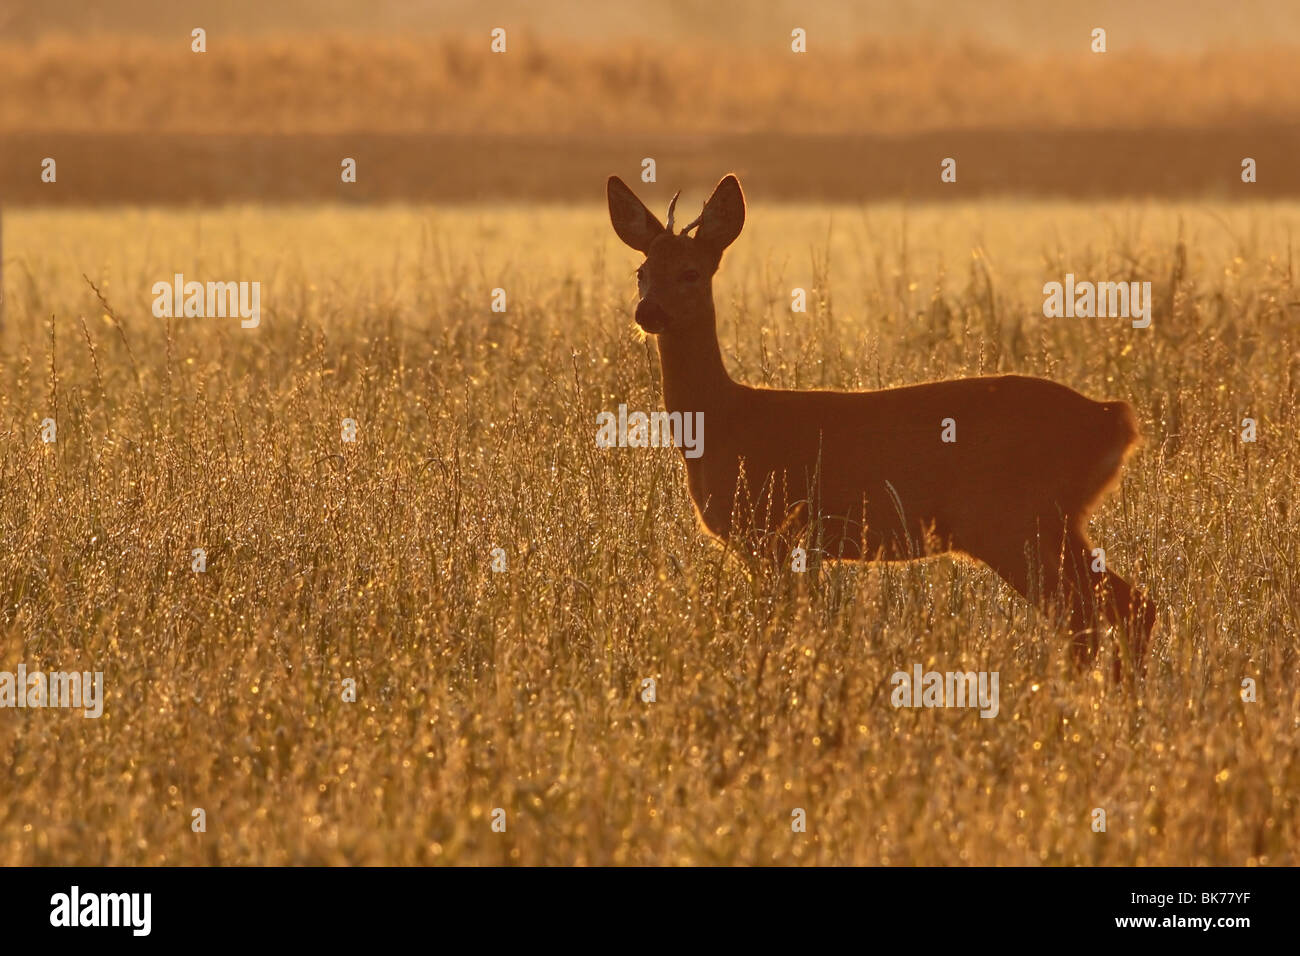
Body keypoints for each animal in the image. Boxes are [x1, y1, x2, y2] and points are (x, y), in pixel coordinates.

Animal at [607, 173, 1157, 674]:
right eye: (641, 271)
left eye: (691, 272)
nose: (649, 311)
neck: (724, 422)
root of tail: (1114, 417)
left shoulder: (774, 532)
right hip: (1047, 521)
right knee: (1127, 606)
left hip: (1018, 518)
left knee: (1098, 614)